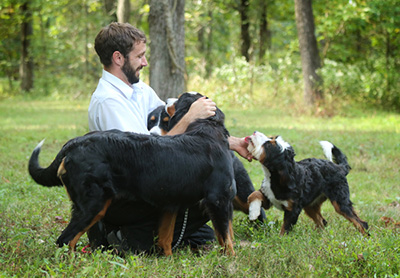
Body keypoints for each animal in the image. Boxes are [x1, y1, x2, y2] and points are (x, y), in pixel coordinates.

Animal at [29, 92, 239, 255]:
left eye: (178, 99)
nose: (167, 99)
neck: (206, 129)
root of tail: (75, 142)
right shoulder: (218, 198)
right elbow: (226, 239)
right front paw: (230, 261)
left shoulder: (171, 203)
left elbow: (165, 239)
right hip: (93, 204)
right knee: (66, 239)